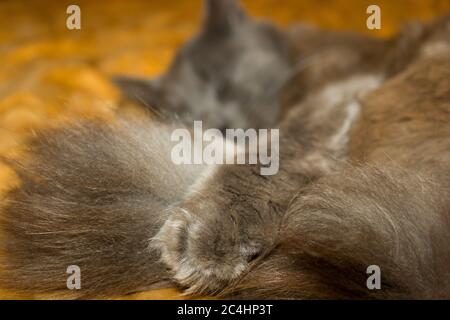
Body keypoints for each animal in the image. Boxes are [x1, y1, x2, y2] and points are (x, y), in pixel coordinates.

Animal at [0, 0, 450, 300]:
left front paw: (207, 234)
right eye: (182, 112)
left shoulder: (341, 87)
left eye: (218, 80)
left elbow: (274, 152)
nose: (215, 123)